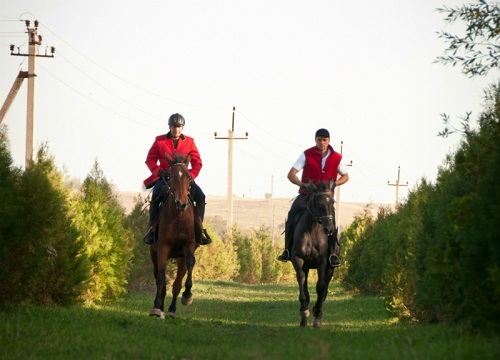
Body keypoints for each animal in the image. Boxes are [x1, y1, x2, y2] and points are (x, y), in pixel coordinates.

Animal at [148, 151, 197, 318]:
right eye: (171, 176)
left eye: (188, 176)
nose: (181, 203)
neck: (178, 217)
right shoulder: (163, 247)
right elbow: (161, 279)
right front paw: (157, 307)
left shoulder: (189, 246)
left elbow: (189, 265)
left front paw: (187, 296)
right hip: (154, 254)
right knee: (159, 276)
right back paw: (160, 306)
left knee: (177, 283)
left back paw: (172, 309)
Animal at [290, 179, 336, 328]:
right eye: (318, 203)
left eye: (332, 202)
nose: (329, 229)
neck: (312, 231)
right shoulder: (298, 259)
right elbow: (301, 279)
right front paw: (304, 311)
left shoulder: (323, 261)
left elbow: (321, 287)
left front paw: (317, 313)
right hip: (306, 266)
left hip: (330, 268)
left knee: (325, 288)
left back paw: (318, 314)